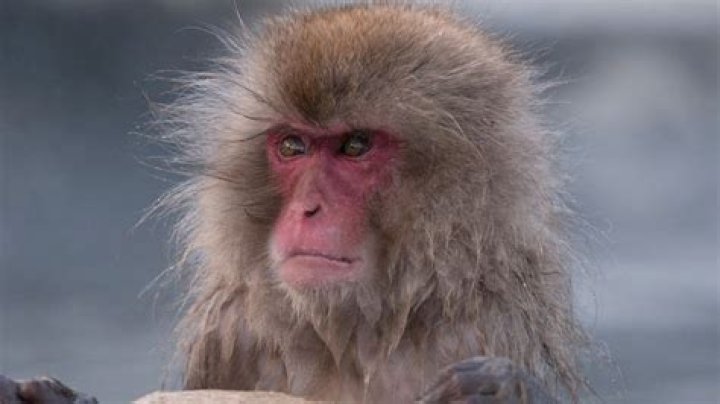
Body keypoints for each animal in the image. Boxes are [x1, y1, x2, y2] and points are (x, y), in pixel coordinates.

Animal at [0, 3, 587, 403]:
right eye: (292, 147)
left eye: (355, 145)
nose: (308, 209)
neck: (357, 333)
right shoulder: (235, 333)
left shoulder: (478, 326)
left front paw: (505, 389)